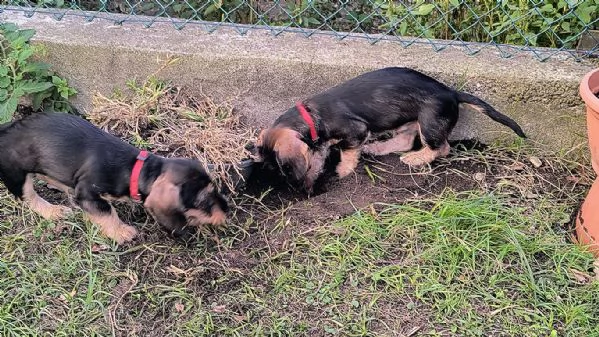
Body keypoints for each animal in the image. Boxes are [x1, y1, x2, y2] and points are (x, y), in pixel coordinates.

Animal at [0, 111, 229, 243]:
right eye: (205, 201)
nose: (227, 210)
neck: (134, 169)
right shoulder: (87, 194)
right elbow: (107, 212)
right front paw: (122, 233)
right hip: (16, 175)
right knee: (29, 198)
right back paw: (53, 211)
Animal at [251, 66, 528, 192]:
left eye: (284, 168)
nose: (302, 191)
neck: (311, 116)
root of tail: (451, 92)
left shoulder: (355, 131)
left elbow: (348, 153)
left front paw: (343, 170)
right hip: (408, 121)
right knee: (405, 141)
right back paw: (379, 148)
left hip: (429, 122)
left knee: (441, 148)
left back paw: (415, 159)